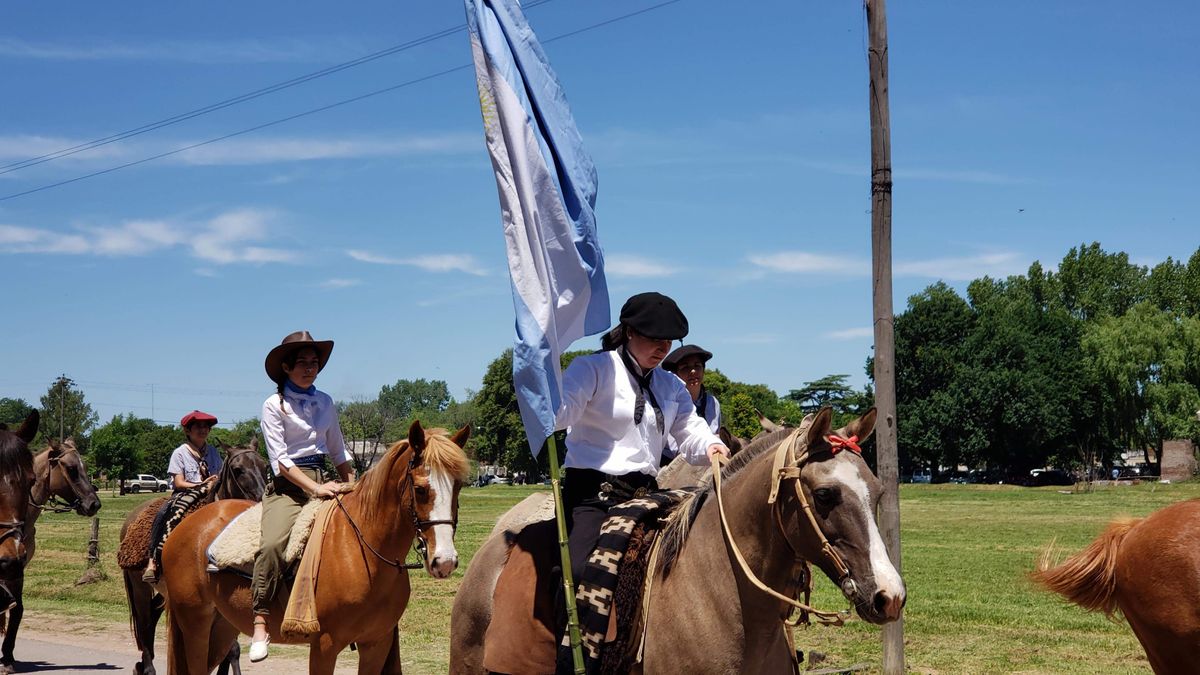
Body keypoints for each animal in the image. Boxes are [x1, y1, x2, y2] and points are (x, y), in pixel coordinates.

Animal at [118, 437, 266, 672]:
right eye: (238, 469)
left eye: (265, 467)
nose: (261, 499)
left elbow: (231, 650)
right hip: (139, 585)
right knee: (143, 622)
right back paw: (148, 667)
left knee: (152, 616)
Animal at [163, 420, 468, 672]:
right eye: (420, 489)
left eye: (459, 486)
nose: (445, 561)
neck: (362, 551)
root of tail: (185, 526)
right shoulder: (324, 645)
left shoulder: (376, 644)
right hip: (195, 625)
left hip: (222, 626)